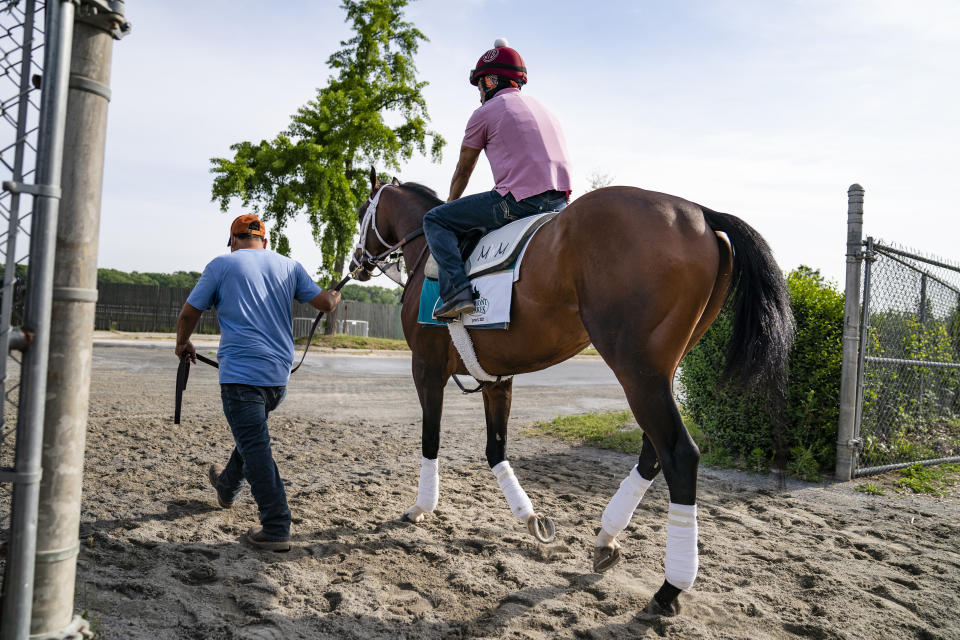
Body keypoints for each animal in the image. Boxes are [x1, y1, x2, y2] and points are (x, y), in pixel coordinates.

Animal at [348, 169, 792, 616]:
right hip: (659, 372)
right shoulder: (497, 377)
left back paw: (670, 587)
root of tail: (698, 211)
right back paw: (607, 537)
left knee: (679, 455)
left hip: (637, 371)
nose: (355, 263)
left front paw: (422, 507)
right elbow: (495, 450)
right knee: (653, 454)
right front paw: (529, 517)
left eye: (362, 209)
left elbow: (431, 439)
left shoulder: (426, 369)